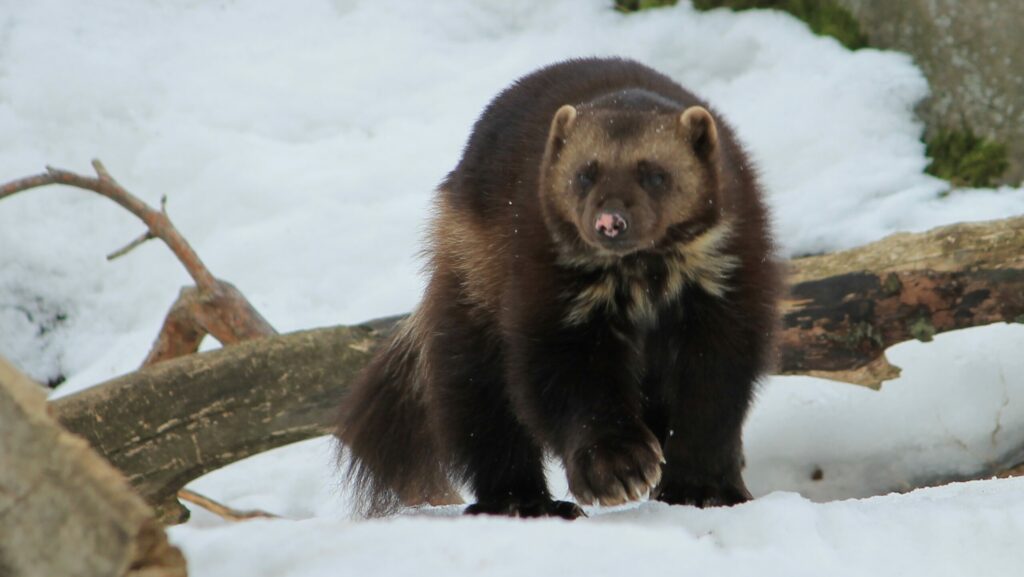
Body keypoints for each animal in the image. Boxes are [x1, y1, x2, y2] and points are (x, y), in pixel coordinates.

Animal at [334, 57, 780, 519]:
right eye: (585, 173)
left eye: (655, 174)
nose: (610, 221)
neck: (643, 276)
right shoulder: (551, 295)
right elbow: (565, 382)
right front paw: (615, 467)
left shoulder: (725, 292)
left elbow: (715, 389)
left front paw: (703, 487)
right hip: (472, 293)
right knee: (482, 410)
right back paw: (523, 500)